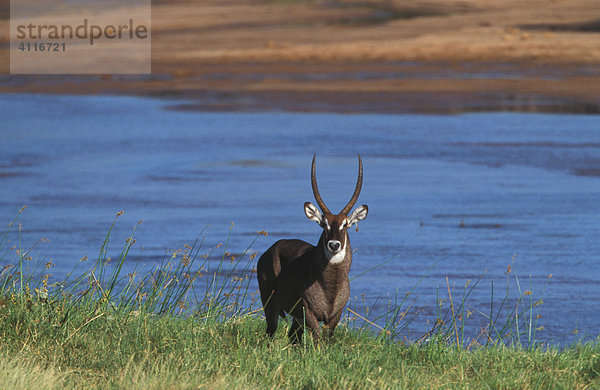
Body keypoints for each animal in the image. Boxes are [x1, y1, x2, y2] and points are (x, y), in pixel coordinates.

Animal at [255, 154, 368, 342]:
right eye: (324, 224)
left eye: (345, 224)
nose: (334, 245)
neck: (330, 286)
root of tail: (272, 248)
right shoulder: (308, 312)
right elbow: (317, 340)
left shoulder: (335, 316)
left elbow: (326, 339)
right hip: (270, 304)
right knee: (271, 331)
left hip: (296, 318)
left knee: (293, 336)